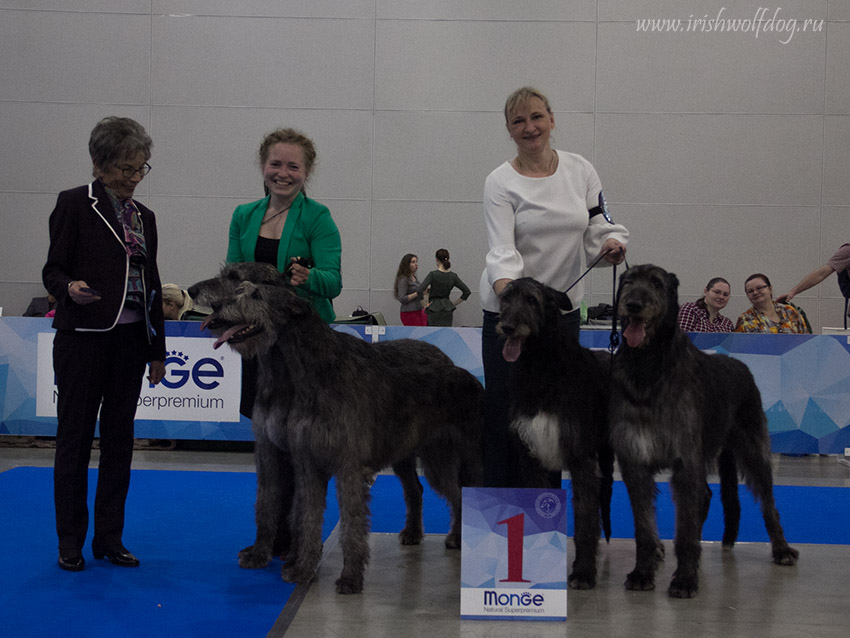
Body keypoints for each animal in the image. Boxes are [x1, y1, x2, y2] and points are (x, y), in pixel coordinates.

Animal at [190, 262, 480, 596]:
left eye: (253, 293)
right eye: (237, 286)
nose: (209, 302)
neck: (311, 372)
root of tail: (448, 360)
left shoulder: (348, 465)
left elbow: (350, 522)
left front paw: (350, 577)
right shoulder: (289, 456)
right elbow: (293, 510)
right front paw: (295, 564)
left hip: (445, 457)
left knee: (460, 492)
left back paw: (459, 538)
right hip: (406, 451)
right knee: (418, 489)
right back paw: (414, 532)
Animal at [494, 278, 612, 592]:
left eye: (532, 300)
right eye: (505, 299)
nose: (506, 327)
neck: (542, 367)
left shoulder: (581, 457)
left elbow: (584, 516)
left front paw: (583, 571)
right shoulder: (529, 456)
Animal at [608, 264, 796, 600]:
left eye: (656, 283)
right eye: (628, 282)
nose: (633, 305)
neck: (649, 365)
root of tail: (743, 367)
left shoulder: (686, 460)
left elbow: (684, 527)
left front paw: (684, 579)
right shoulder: (635, 460)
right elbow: (643, 526)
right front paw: (643, 572)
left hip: (752, 449)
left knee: (768, 503)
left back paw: (782, 549)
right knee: (706, 495)